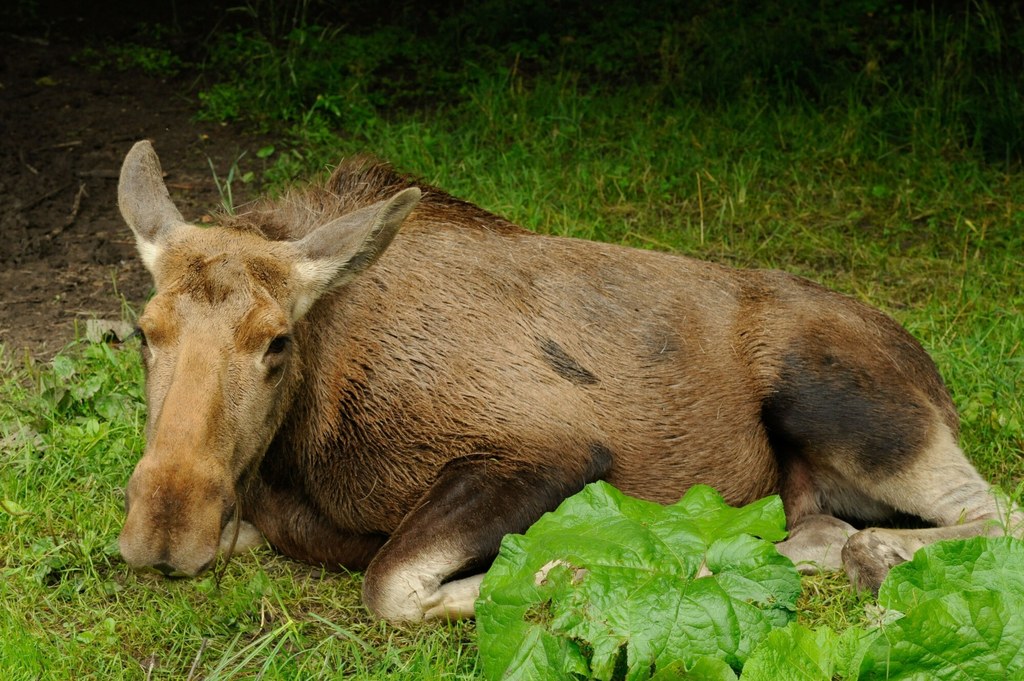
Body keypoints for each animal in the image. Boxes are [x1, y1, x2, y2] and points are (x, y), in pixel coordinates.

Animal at [116, 138, 1011, 622]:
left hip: (848, 410)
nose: (163, 530)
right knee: (822, 528)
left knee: (994, 511)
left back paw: (875, 554)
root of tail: (936, 374)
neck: (297, 448)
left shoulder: (552, 449)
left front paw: (573, 570)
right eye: (142, 332)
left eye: (275, 342)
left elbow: (392, 582)